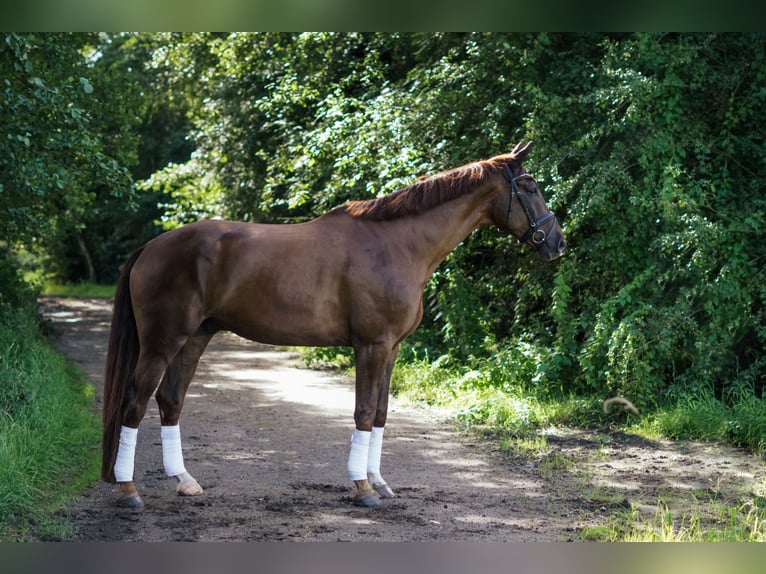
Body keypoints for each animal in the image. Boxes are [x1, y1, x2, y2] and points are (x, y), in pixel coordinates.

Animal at [101, 141, 566, 509]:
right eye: (530, 187)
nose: (558, 243)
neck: (397, 245)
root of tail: (150, 247)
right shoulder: (371, 345)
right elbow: (363, 412)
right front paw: (362, 488)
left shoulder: (392, 348)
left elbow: (380, 413)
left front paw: (379, 481)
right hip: (162, 342)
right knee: (134, 404)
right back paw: (128, 492)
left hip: (195, 337)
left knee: (170, 401)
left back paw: (185, 482)